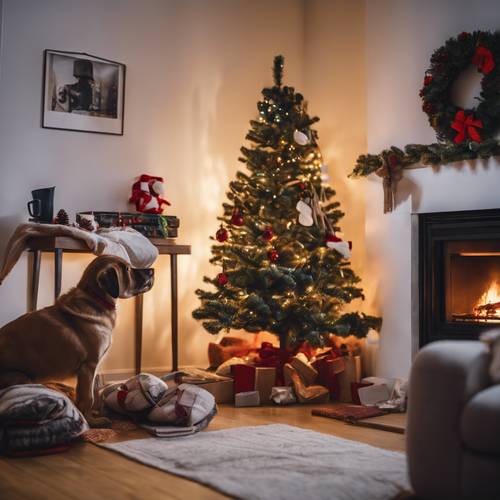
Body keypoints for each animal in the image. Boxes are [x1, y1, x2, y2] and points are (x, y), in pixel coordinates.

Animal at [0, 258, 153, 426]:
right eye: (127, 269)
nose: (152, 270)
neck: (95, 298)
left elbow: (87, 394)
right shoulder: (88, 366)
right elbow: (88, 397)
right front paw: (92, 421)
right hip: (23, 378)